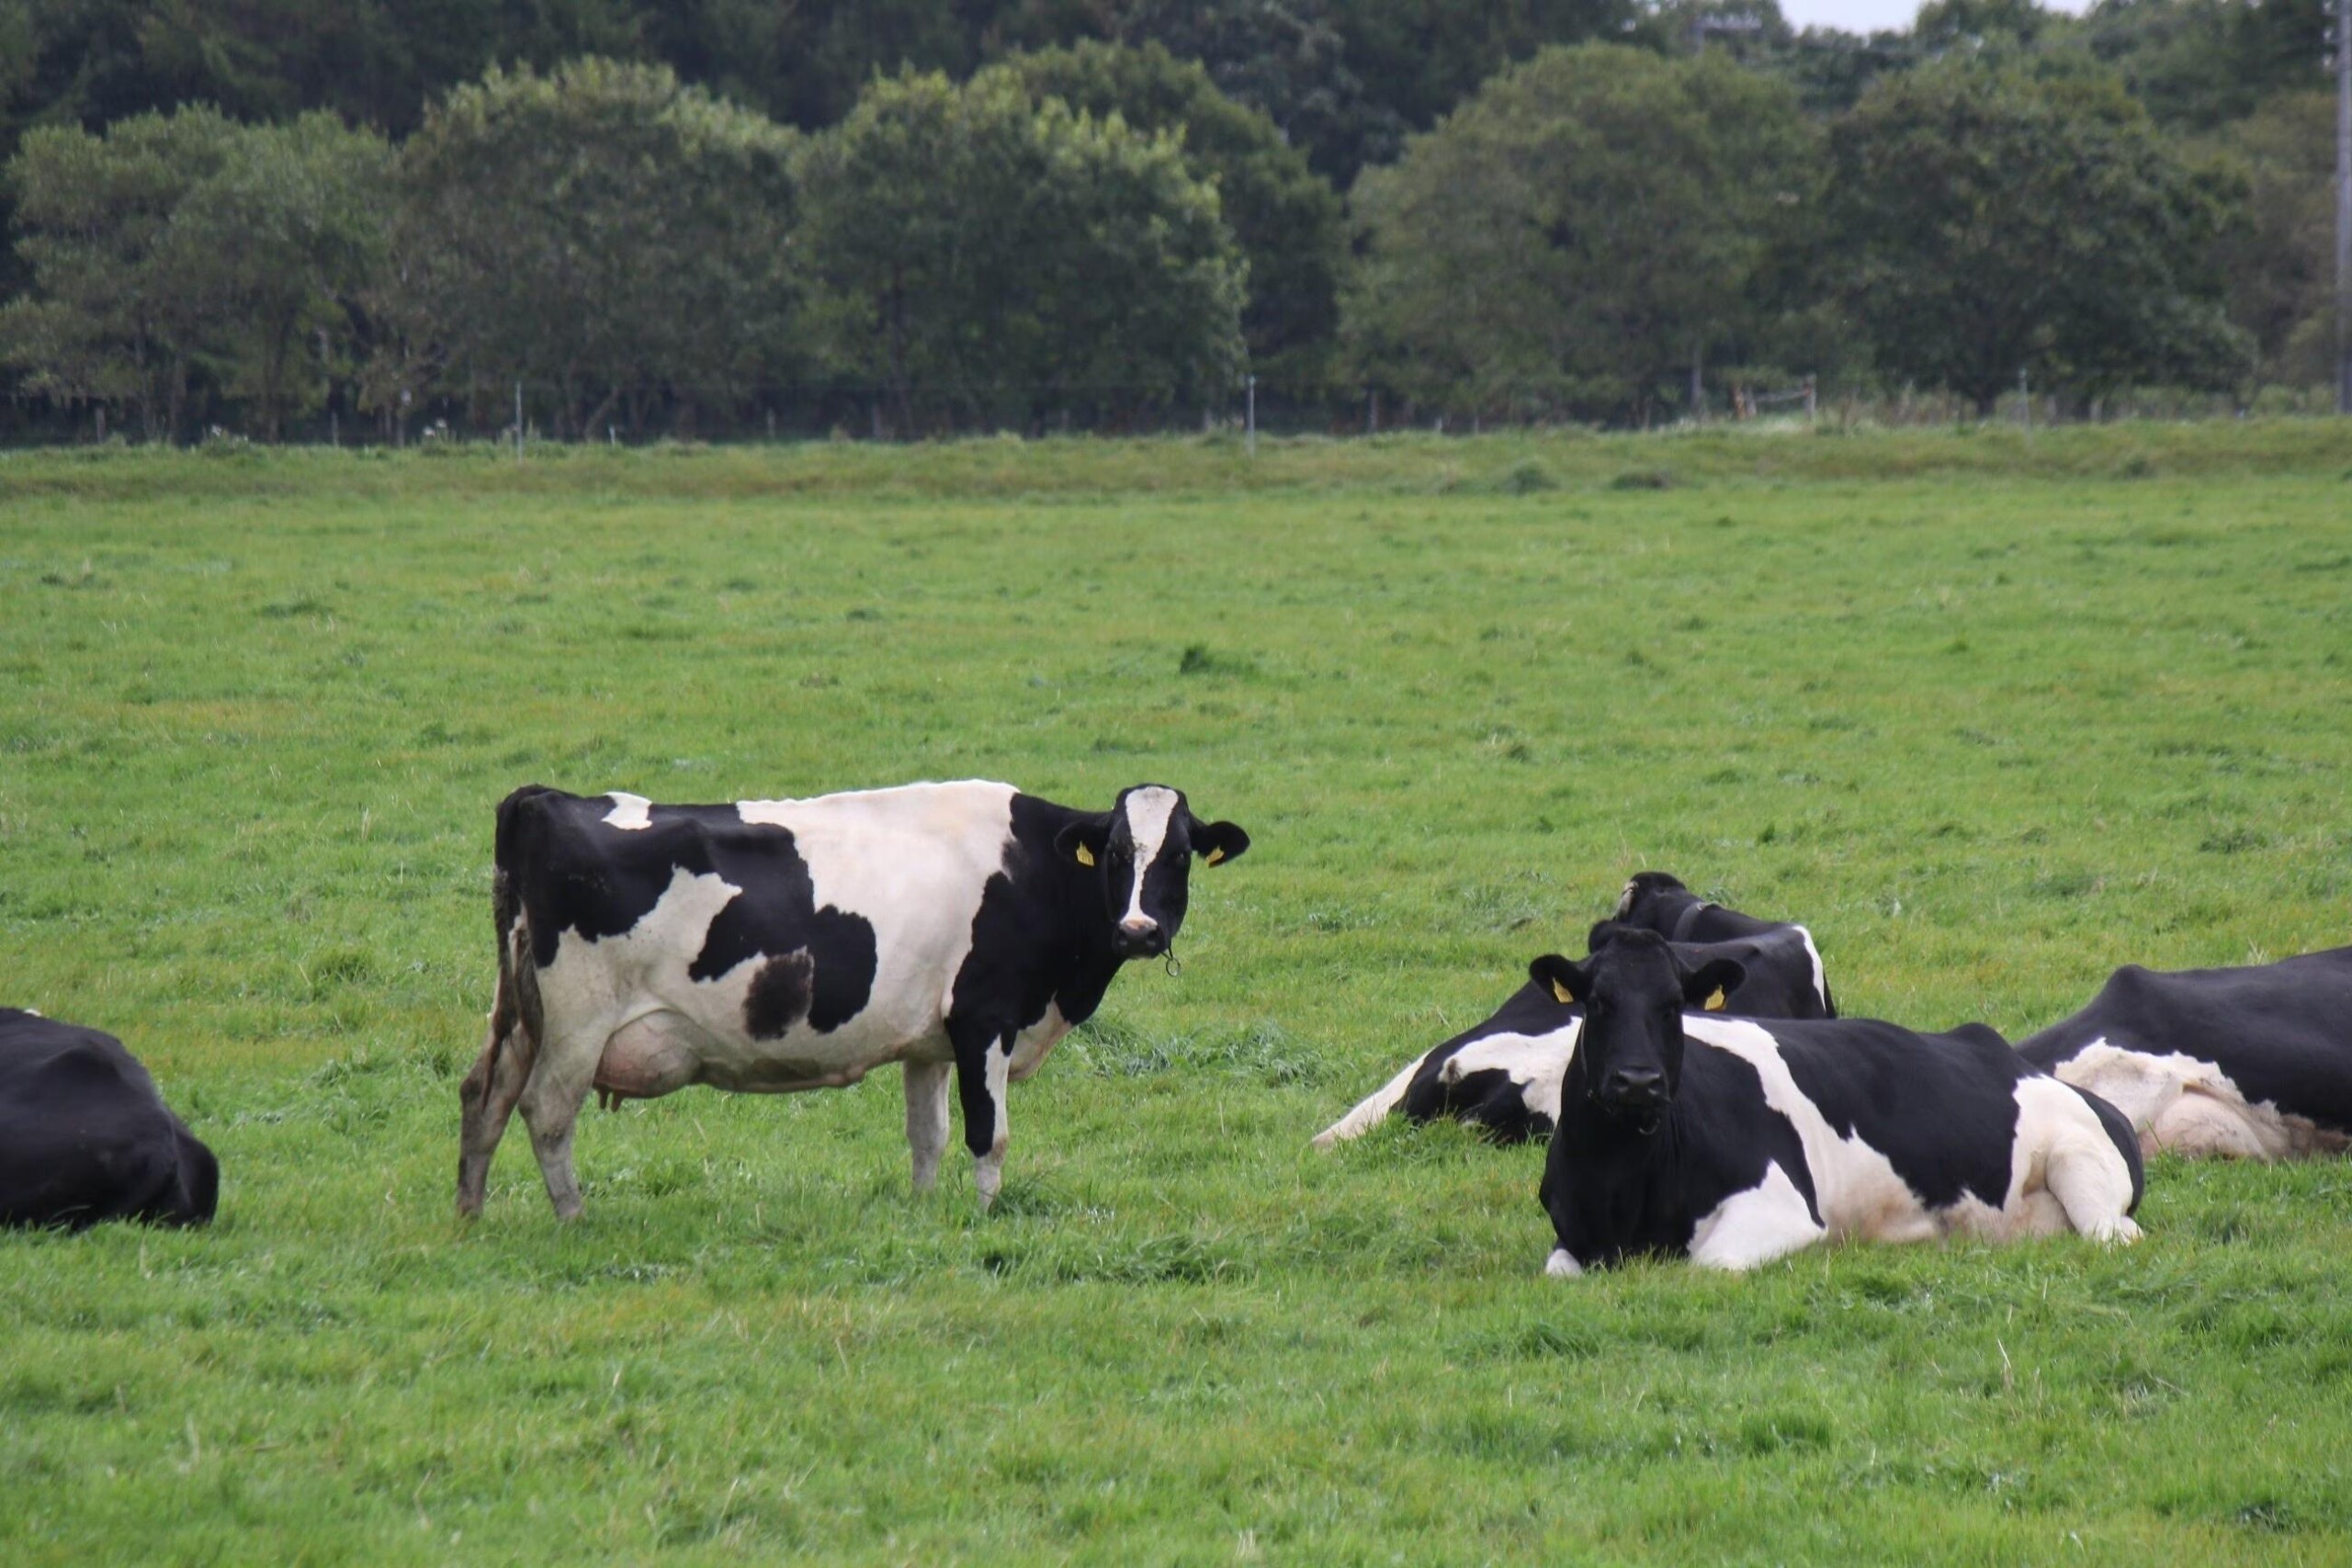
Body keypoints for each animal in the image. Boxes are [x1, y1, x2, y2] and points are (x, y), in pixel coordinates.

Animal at [454, 780, 1250, 1222]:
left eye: (1179, 854)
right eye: (1115, 853)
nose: (1140, 929)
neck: (1031, 870)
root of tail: (541, 799)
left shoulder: (931, 1041)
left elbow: (928, 1136)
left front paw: (924, 1214)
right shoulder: (985, 1020)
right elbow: (986, 1136)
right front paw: (987, 1219)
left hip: (520, 1014)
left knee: (483, 1095)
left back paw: (471, 1212)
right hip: (577, 1023)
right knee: (545, 1113)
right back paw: (574, 1216)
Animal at [1533, 931, 2144, 1279]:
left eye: (1672, 1005)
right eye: (1598, 1001)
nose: (1638, 1081)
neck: (1622, 1187)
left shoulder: (1777, 1207)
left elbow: (1710, 1265)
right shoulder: (1572, 1236)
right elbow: (1557, 1271)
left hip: (2080, 1161)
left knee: (2115, 1235)